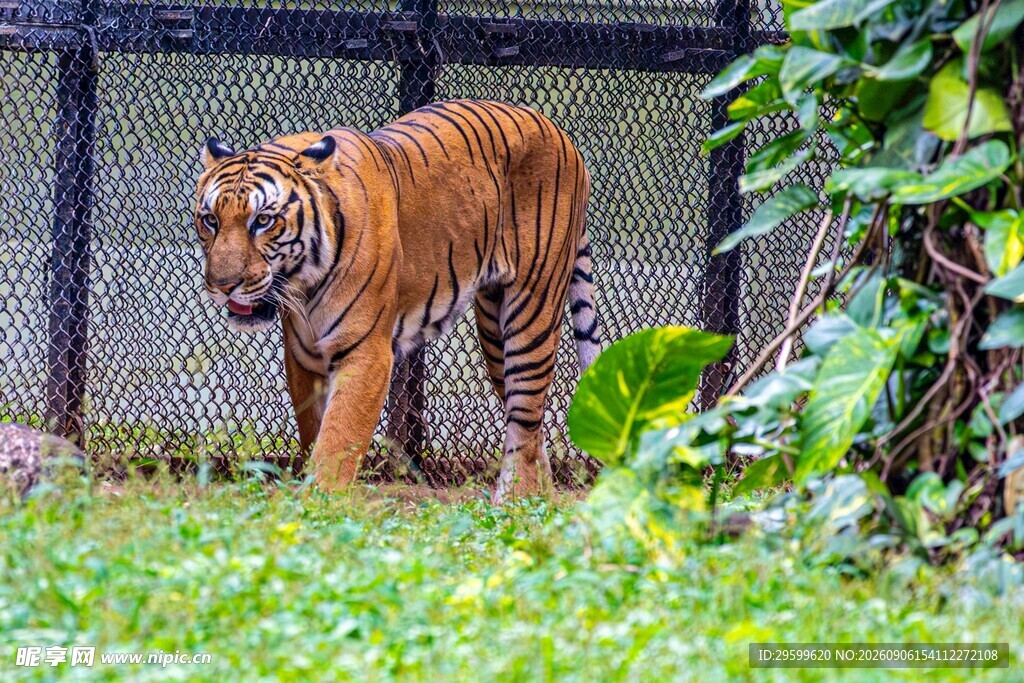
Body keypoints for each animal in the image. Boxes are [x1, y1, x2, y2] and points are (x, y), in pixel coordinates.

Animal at [193, 99, 601, 502]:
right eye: (211, 220)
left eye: (263, 220)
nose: (222, 285)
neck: (303, 284)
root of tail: (561, 135)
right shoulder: (304, 355)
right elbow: (315, 433)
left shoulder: (365, 352)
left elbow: (336, 442)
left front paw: (318, 505)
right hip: (493, 327)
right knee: (531, 426)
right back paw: (536, 499)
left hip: (532, 309)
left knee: (526, 414)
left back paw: (513, 503)